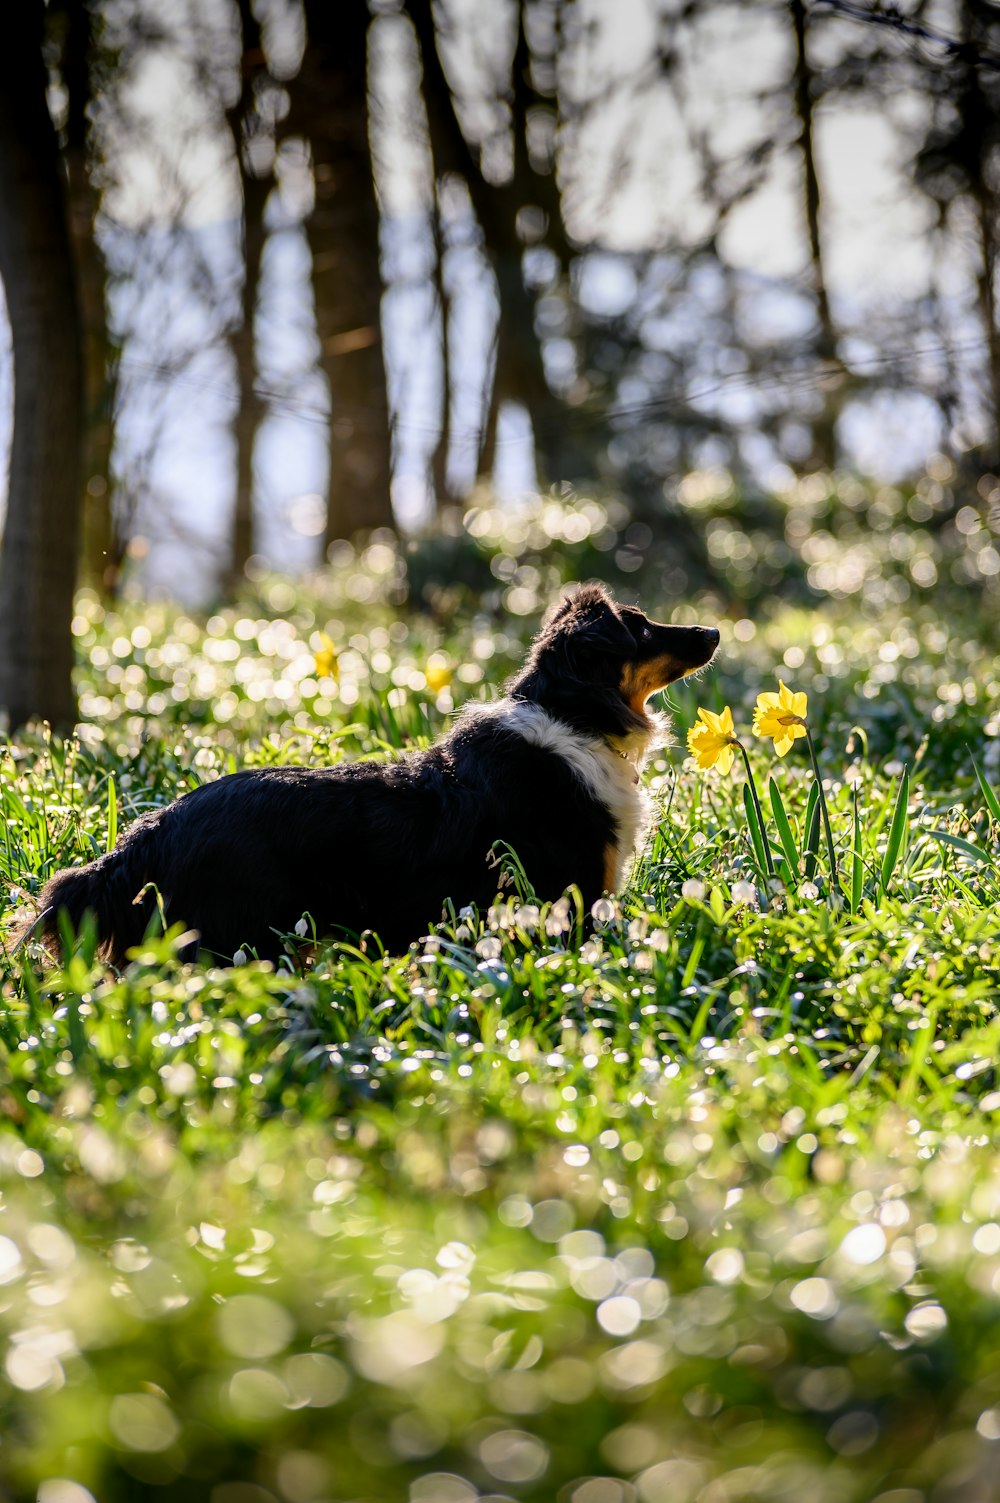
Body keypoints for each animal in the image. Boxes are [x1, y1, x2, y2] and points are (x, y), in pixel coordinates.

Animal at [17, 580, 718, 967]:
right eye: (642, 628)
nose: (713, 630)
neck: (574, 716)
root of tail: (150, 832)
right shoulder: (571, 900)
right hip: (237, 943)